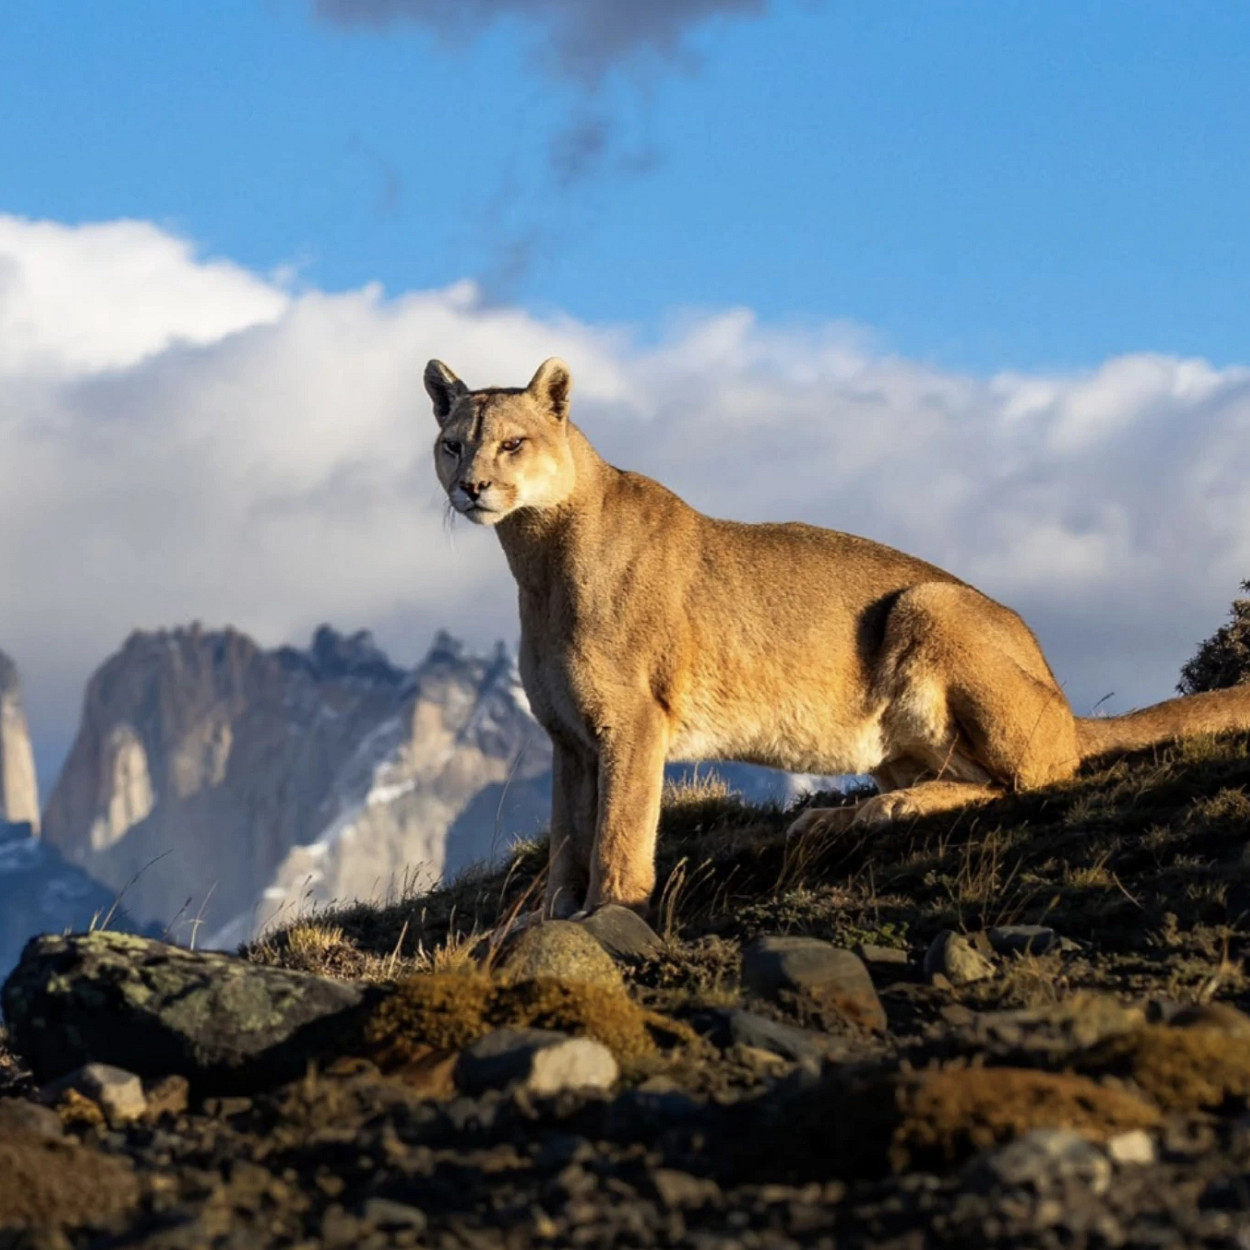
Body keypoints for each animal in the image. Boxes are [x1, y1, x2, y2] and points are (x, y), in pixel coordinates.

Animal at [426, 356, 1250, 916]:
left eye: (512, 444)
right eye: (453, 443)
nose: (471, 487)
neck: (537, 557)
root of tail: (1062, 695)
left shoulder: (630, 721)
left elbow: (617, 832)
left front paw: (609, 913)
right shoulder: (568, 737)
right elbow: (568, 836)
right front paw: (549, 919)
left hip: (929, 605)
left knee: (1034, 774)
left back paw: (886, 811)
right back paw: (840, 816)